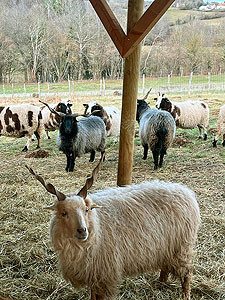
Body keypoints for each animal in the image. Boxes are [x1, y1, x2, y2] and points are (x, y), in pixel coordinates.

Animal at [26, 155, 200, 300]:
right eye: (63, 213)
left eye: (86, 209)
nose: (82, 231)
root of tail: (185, 192)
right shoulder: (94, 273)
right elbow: (93, 296)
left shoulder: (105, 275)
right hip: (167, 247)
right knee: (166, 266)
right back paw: (160, 283)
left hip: (182, 247)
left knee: (187, 273)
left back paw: (185, 295)